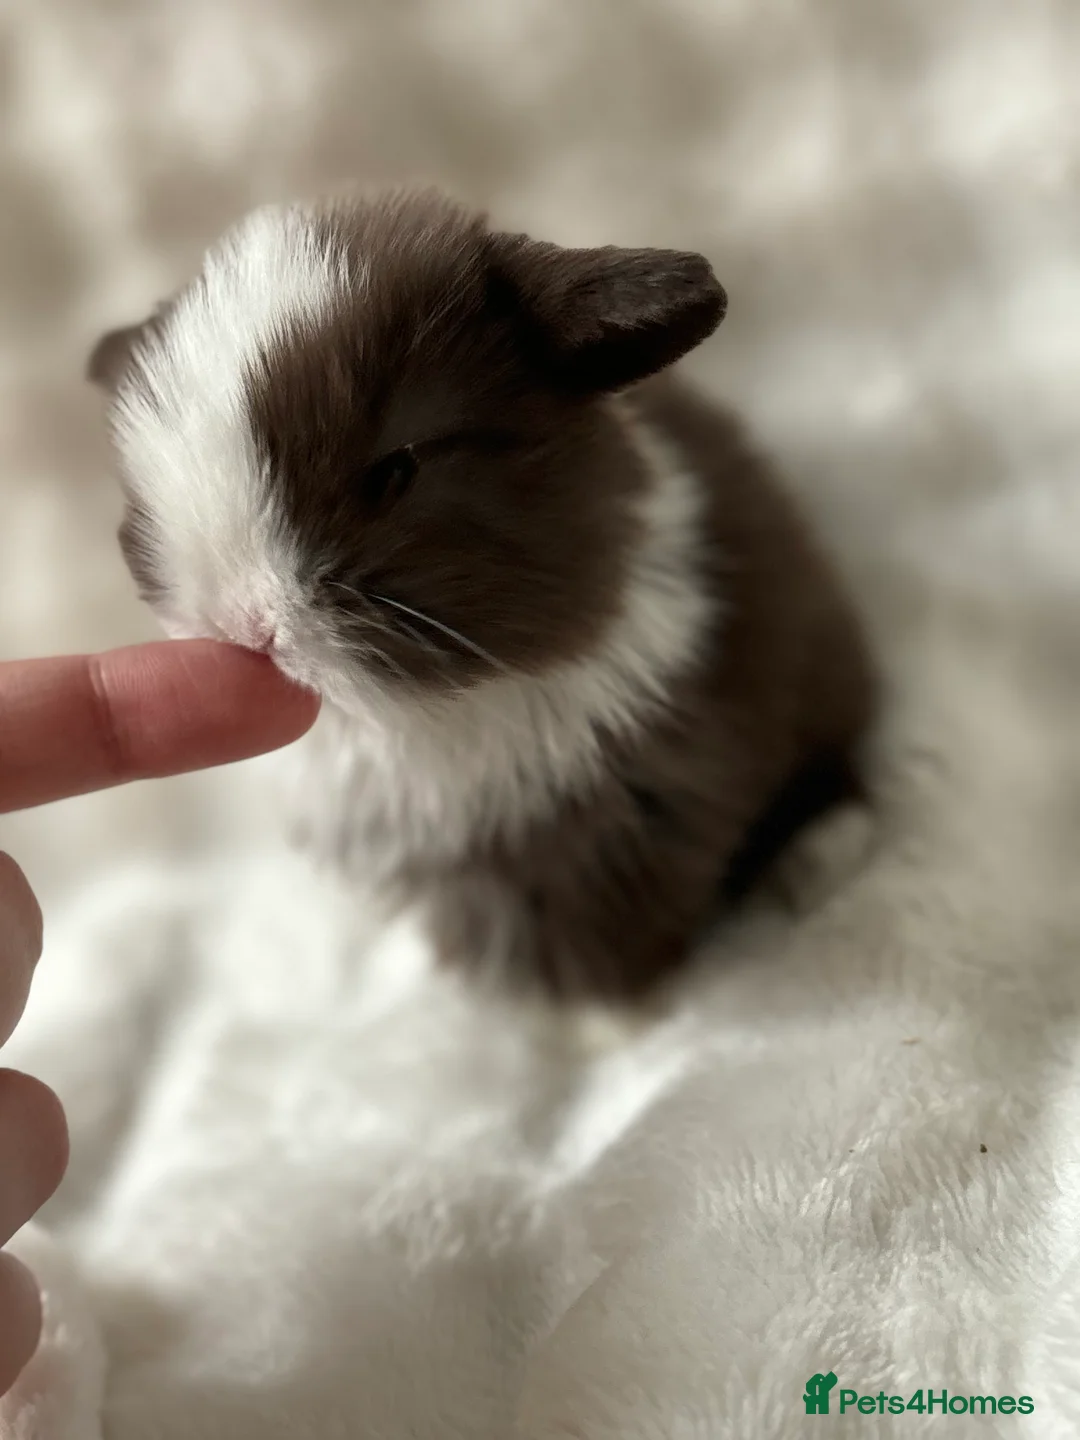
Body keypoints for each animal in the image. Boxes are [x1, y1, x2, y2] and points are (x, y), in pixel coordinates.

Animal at [88, 185, 876, 1000]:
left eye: (396, 471)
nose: (244, 625)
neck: (412, 720)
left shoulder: (631, 815)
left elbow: (605, 940)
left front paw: (620, 1015)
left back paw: (823, 860)